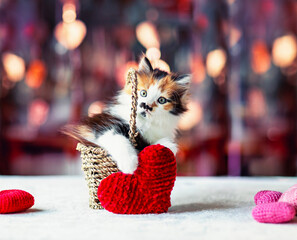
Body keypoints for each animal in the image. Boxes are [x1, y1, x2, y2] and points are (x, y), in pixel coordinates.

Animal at [63, 57, 191, 175]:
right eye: (143, 93)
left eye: (162, 100)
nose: (146, 105)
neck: (146, 122)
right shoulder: (104, 124)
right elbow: (119, 139)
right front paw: (129, 164)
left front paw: (167, 146)